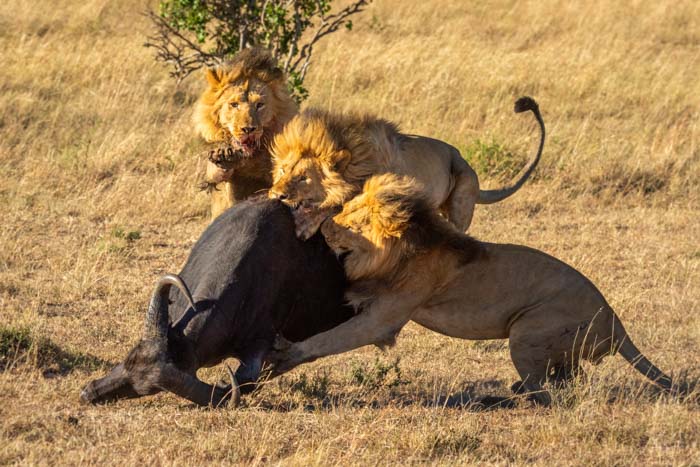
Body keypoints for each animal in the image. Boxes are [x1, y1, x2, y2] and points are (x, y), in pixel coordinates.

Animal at [194, 47, 298, 219]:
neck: (248, 157)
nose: (248, 129)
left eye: (260, 105)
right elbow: (214, 175)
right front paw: (223, 155)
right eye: (234, 104)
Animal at [268, 97, 548, 239]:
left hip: (461, 199)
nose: (276, 195)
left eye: (303, 178)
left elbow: (333, 206)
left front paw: (305, 223)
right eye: (283, 171)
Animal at [270, 174, 680, 408]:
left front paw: (286, 352)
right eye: (345, 211)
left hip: (527, 331)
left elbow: (329, 340)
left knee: (547, 395)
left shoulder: (386, 317)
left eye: (350, 222)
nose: (325, 227)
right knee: (569, 380)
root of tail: (615, 320)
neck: (407, 247)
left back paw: (505, 398)